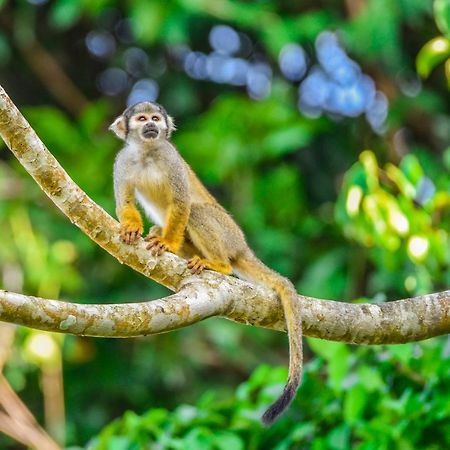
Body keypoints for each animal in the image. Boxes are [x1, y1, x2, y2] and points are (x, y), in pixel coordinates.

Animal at [110, 102, 302, 426]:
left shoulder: (171, 158)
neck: (147, 152)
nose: (152, 126)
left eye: (156, 118)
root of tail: (242, 245)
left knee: (197, 210)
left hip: (228, 232)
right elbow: (125, 201)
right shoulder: (122, 162)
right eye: (141, 118)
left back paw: (219, 265)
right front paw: (132, 228)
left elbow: (181, 202)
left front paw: (167, 244)